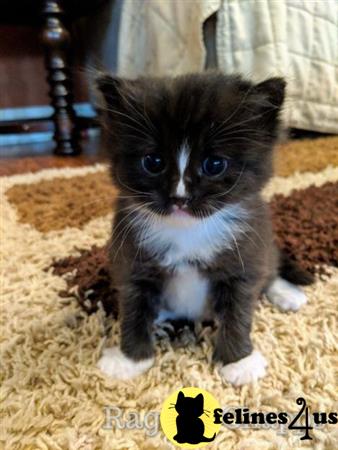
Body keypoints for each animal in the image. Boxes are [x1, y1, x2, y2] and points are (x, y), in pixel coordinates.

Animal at [95, 72, 312, 384]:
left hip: (263, 246)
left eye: (214, 164)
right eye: (153, 162)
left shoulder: (245, 255)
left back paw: (287, 294)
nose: (180, 198)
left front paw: (239, 361)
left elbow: (239, 310)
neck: (187, 230)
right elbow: (134, 307)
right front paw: (130, 359)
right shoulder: (132, 259)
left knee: (269, 270)